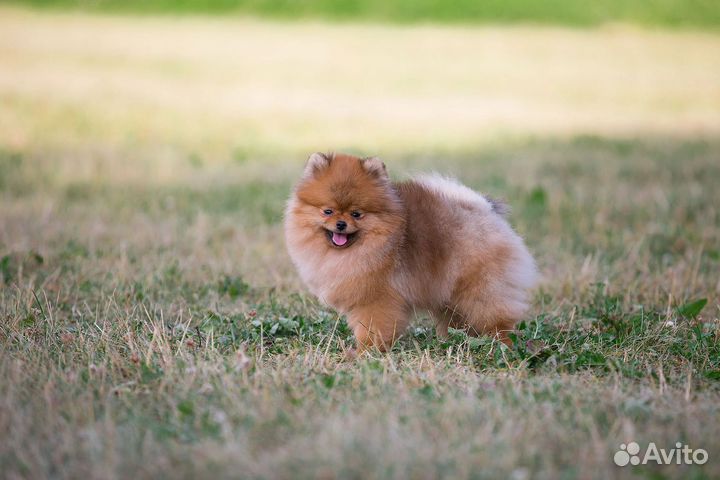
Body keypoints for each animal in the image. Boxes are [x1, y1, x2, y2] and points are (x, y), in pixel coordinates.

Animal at [284, 152, 536, 354]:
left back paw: (502, 343)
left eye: (357, 214)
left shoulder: (377, 299)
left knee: (496, 317)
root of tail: (485, 210)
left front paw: (365, 352)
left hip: (482, 287)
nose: (341, 224)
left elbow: (373, 328)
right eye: (327, 211)